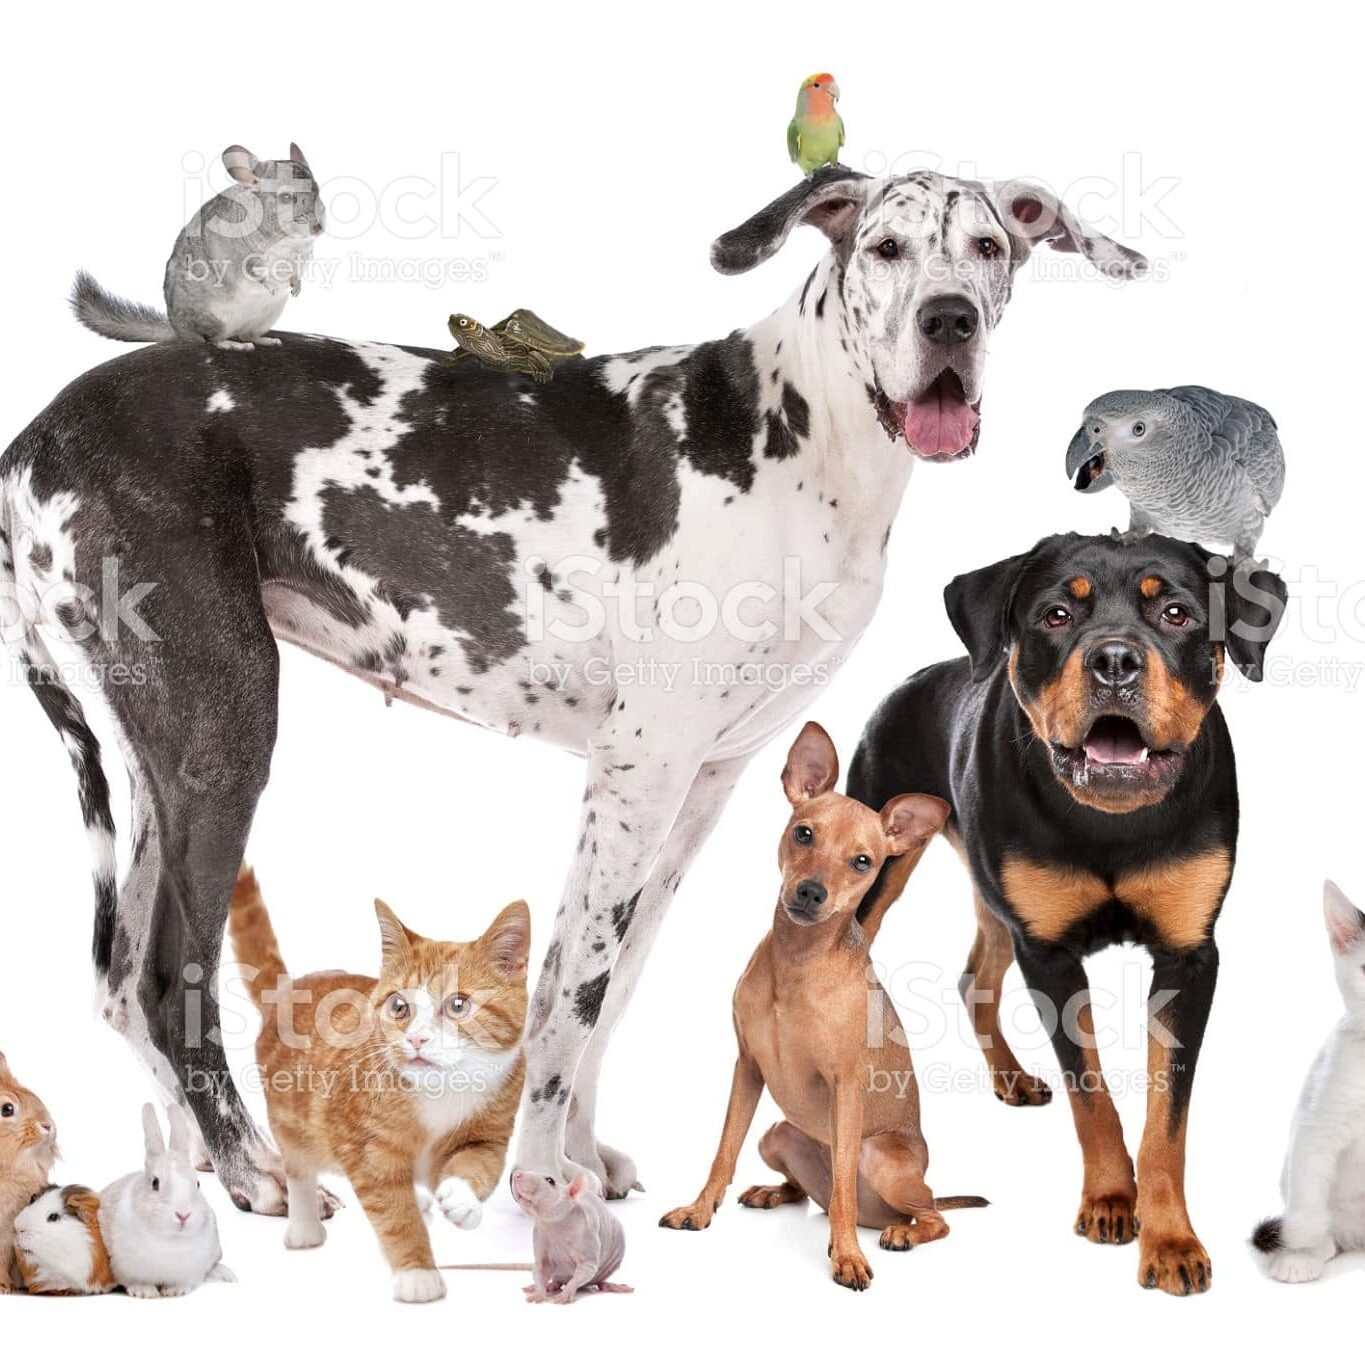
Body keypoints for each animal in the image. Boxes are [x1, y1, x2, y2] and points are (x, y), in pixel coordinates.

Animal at [99, 1097, 234, 1299]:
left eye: (197, 1184)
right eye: (155, 1183)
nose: (183, 1215)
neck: (170, 1241)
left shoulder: (193, 1270)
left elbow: (186, 1281)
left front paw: (174, 1291)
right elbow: (135, 1281)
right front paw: (145, 1292)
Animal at [657, 726, 982, 1288]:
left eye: (863, 862)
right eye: (804, 834)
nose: (811, 892)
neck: (798, 965)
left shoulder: (846, 1085)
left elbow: (843, 1188)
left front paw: (847, 1256)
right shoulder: (747, 1068)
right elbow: (723, 1152)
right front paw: (699, 1211)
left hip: (882, 1158)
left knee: (923, 1216)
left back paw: (897, 1233)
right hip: (776, 1133)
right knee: (810, 1194)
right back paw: (773, 1192)